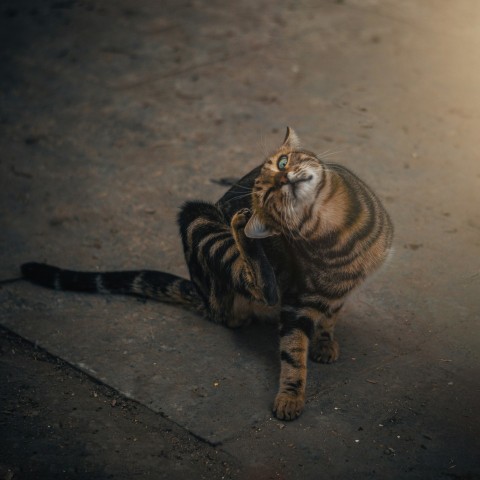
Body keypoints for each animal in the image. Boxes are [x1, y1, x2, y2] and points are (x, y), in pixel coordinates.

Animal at [20, 128, 394, 420]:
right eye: (269, 194)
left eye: (283, 162)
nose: (282, 178)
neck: (336, 230)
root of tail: (205, 297)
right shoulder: (296, 302)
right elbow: (292, 353)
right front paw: (290, 396)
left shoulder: (340, 291)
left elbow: (330, 316)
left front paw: (325, 342)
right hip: (199, 219)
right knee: (257, 287)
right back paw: (244, 235)